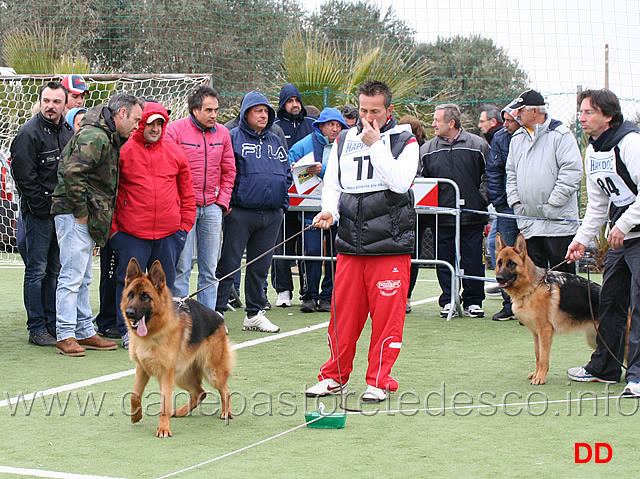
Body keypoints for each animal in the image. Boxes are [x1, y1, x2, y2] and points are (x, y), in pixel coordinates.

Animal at [121, 258, 234, 438]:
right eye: (130, 295)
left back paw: (226, 411)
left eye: (145, 296)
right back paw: (181, 411)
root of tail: (219, 317)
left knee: (225, 388)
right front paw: (136, 415)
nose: (129, 312)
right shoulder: (142, 369)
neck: (154, 333)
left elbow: (164, 404)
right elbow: (134, 395)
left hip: (211, 371)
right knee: (200, 393)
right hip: (182, 375)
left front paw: (163, 428)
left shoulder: (166, 375)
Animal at [496, 233, 600, 386]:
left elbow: (544, 357)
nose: (499, 278)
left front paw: (540, 377)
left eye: (511, 263)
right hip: (593, 339)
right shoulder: (536, 333)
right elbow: (538, 355)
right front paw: (536, 374)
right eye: (499, 263)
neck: (533, 288)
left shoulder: (545, 332)